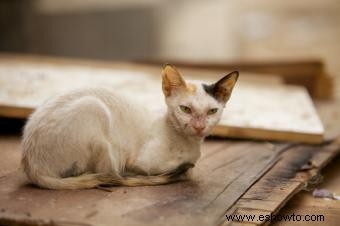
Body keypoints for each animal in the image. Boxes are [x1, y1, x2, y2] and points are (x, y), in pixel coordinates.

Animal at [21, 65, 239, 189]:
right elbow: (184, 169)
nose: (199, 126)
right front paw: (183, 170)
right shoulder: (140, 161)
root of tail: (32, 167)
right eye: (185, 109)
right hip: (95, 109)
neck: (189, 144)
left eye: (212, 111)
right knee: (110, 174)